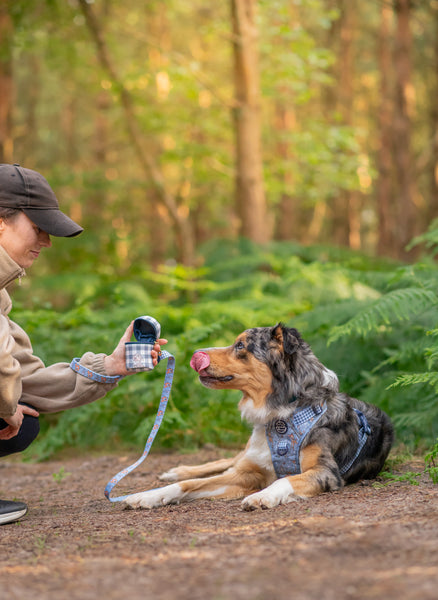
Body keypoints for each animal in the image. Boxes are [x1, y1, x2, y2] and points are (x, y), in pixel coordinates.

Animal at [123, 324, 394, 510]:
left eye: (241, 346)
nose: (196, 353)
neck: (281, 417)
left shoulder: (326, 472)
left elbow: (284, 481)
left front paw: (262, 496)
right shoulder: (246, 473)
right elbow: (189, 485)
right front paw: (148, 495)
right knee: (223, 462)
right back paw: (177, 471)